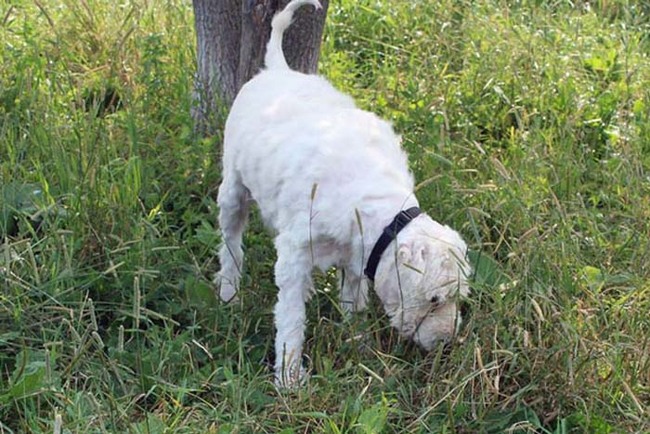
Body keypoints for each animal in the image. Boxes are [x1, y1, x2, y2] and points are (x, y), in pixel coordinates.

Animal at [215, 0, 468, 386]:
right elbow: (291, 317)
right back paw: (229, 292)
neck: (376, 201)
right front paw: (290, 378)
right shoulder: (295, 254)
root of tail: (278, 69)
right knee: (231, 244)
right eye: (435, 299)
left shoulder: (357, 257)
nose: (446, 342)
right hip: (232, 188)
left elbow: (353, 302)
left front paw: (358, 347)